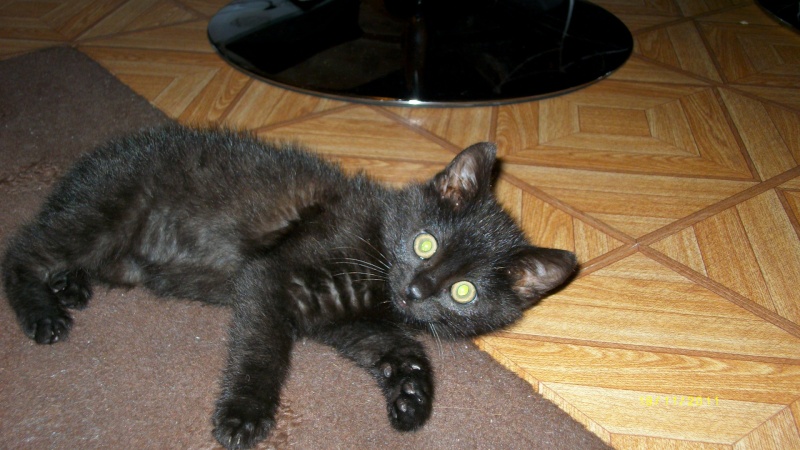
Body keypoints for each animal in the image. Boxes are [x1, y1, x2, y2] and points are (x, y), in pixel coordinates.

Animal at [0, 125, 576, 448]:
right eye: (425, 243)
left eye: (463, 293)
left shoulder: (346, 323)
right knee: (22, 250)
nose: (417, 289)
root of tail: (90, 165)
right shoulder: (269, 277)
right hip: (106, 212)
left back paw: (69, 287)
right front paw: (245, 414)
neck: (377, 266)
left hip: (119, 254)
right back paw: (44, 310)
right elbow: (263, 351)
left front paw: (412, 392)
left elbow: (400, 347)